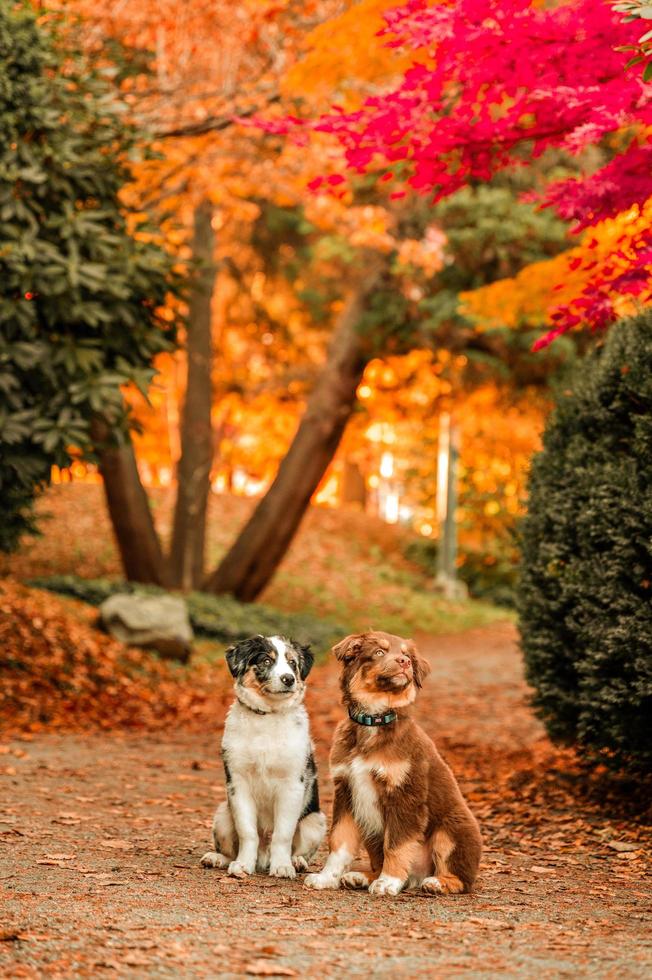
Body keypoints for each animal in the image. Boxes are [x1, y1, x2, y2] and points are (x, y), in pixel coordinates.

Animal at [200, 636, 324, 880]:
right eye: (266, 660)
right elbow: (247, 831)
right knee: (230, 847)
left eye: (292, 663)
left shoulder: (292, 784)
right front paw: (242, 865)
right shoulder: (238, 782)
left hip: (315, 821)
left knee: (300, 850)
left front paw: (282, 866)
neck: (267, 717)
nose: (288, 679)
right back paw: (218, 858)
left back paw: (296, 862)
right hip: (222, 814)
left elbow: (283, 833)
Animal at [304, 636, 482, 896]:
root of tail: (417, 877)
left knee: (462, 880)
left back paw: (437, 882)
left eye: (407, 655)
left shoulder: (405, 795)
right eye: (379, 652)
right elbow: (339, 840)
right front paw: (327, 877)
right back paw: (361, 877)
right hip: (372, 832)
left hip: (452, 829)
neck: (373, 720)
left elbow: (397, 844)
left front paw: (388, 882)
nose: (404, 662)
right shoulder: (346, 791)